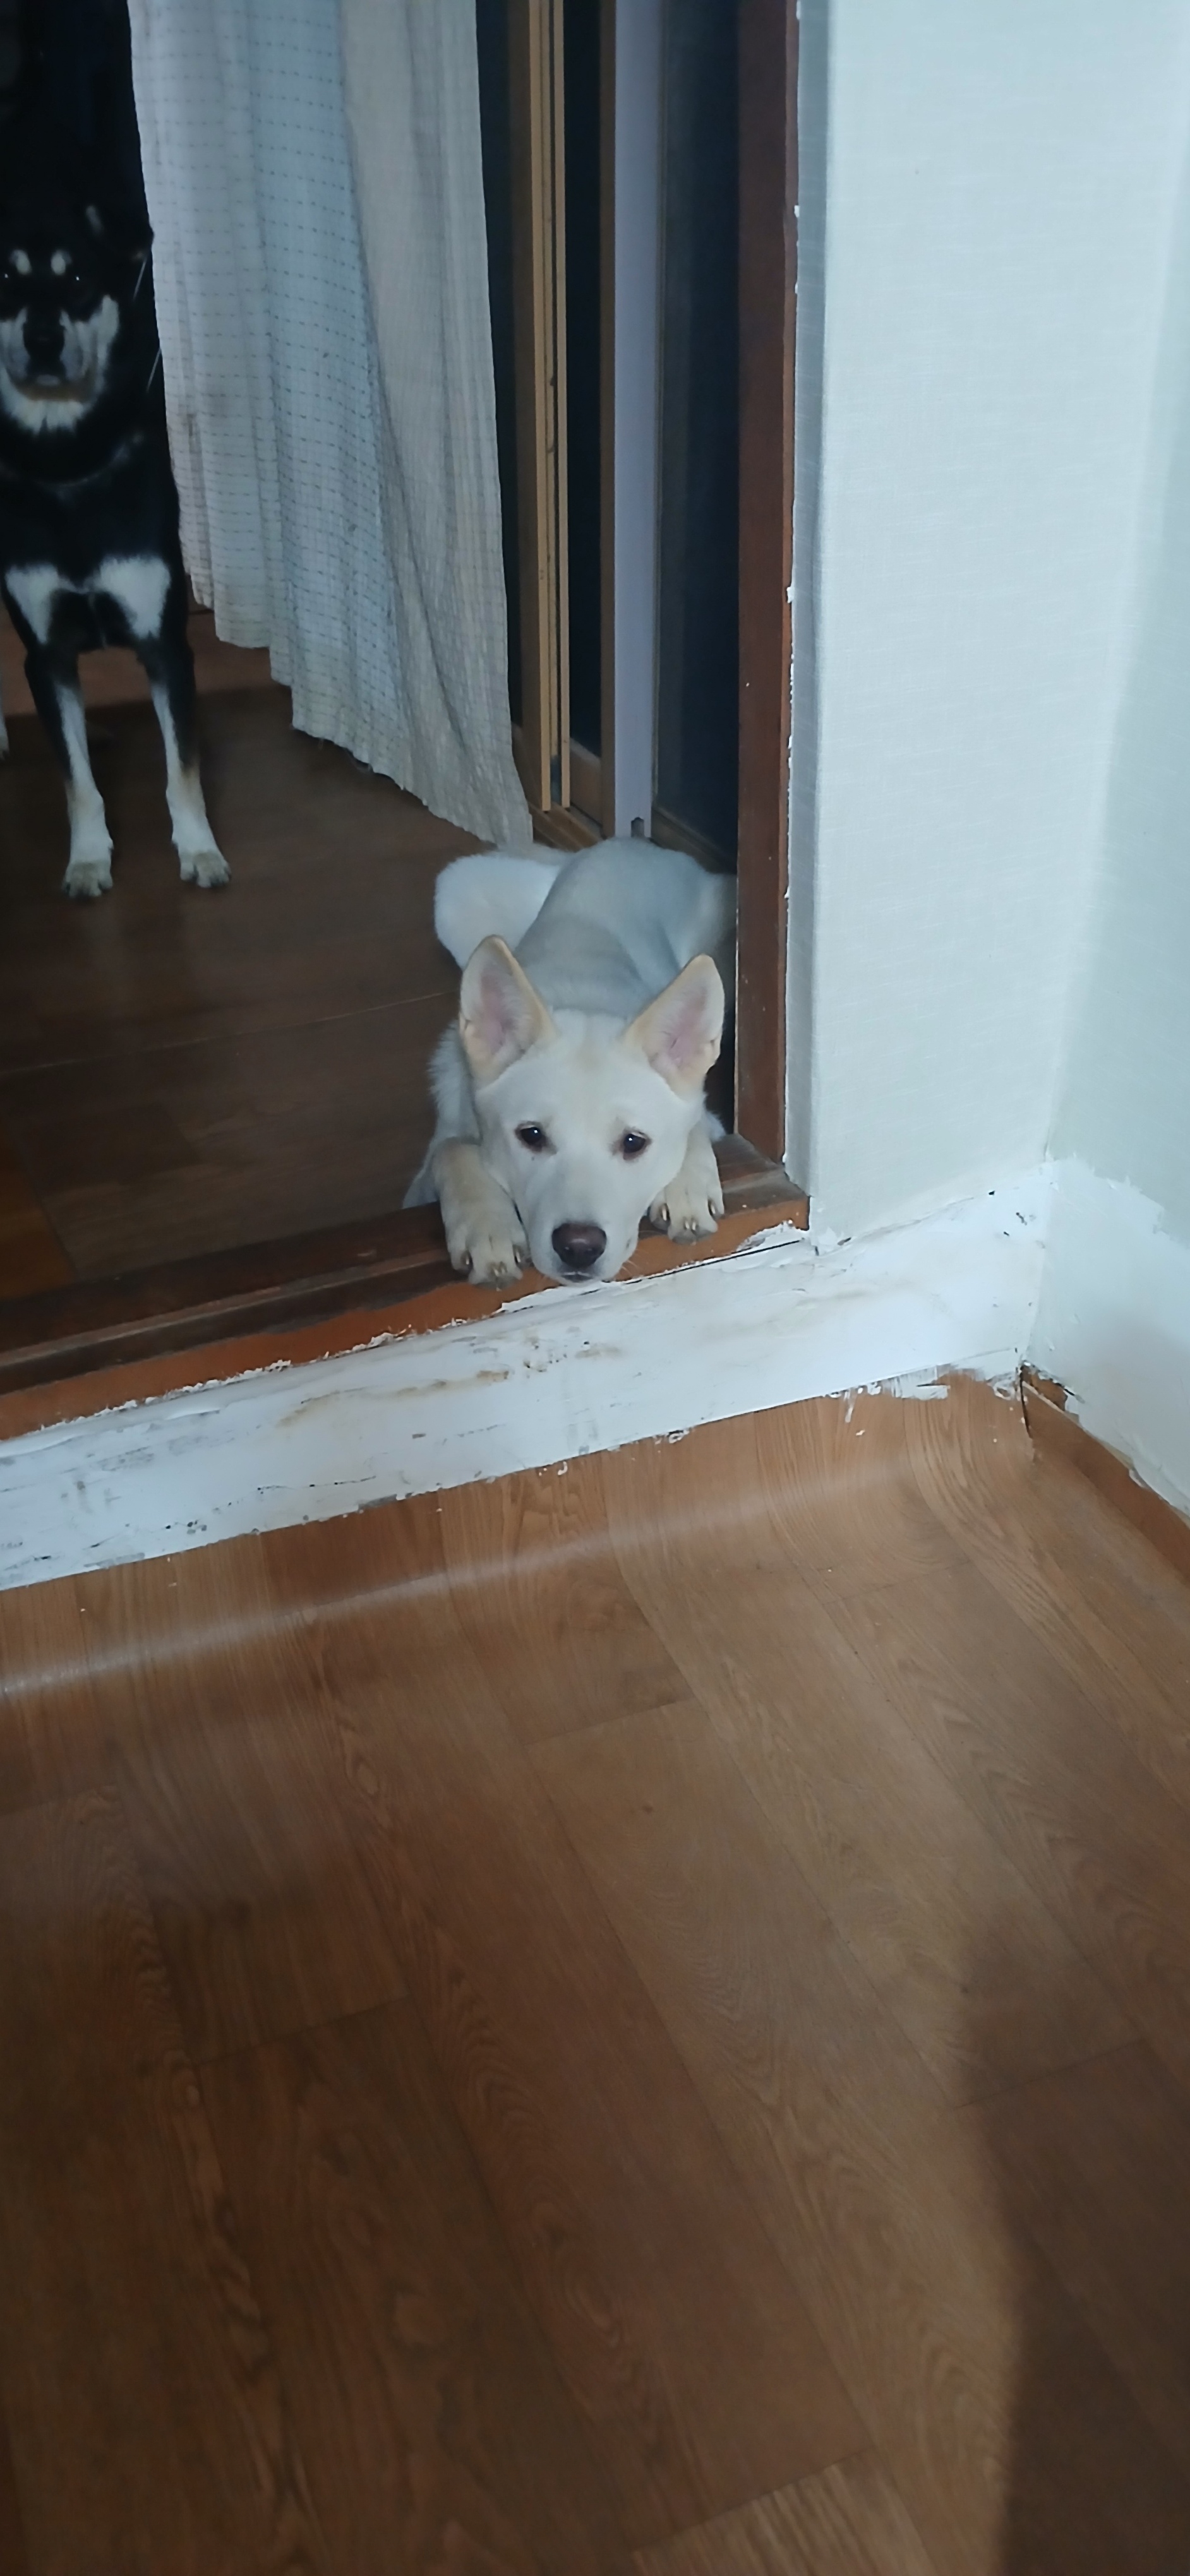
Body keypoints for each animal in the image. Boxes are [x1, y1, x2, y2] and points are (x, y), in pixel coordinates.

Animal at [0, 137, 227, 898]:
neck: (65, 459)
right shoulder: (44, 651)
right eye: (4, 278)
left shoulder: (163, 642)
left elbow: (182, 769)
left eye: (76, 277)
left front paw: (199, 851)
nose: (43, 339)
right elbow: (77, 782)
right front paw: (89, 859)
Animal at [405, 838, 734, 1286]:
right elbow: (451, 1150)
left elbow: (697, 1121)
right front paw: (487, 1228)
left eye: (633, 1143)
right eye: (531, 1136)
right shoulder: (422, 1178)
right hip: (453, 897)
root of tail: (625, 844)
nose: (579, 1247)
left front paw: (687, 1184)